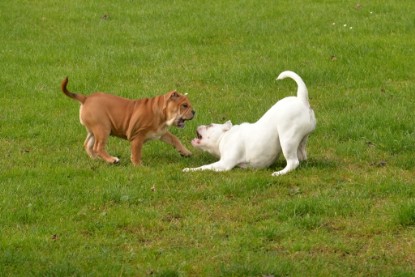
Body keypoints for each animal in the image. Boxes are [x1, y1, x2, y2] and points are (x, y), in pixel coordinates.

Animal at [61, 76, 196, 165]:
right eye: (184, 106)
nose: (194, 111)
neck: (160, 113)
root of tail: (86, 98)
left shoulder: (161, 133)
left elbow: (175, 139)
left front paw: (185, 152)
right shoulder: (138, 136)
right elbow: (136, 151)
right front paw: (138, 165)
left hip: (94, 130)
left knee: (88, 145)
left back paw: (97, 159)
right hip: (103, 128)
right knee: (98, 147)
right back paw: (111, 160)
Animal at [184, 70, 316, 175]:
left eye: (209, 125)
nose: (198, 125)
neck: (224, 136)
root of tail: (302, 100)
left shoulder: (224, 164)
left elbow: (204, 167)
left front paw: (189, 169)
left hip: (287, 138)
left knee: (293, 162)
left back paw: (279, 173)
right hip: (301, 140)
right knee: (302, 156)